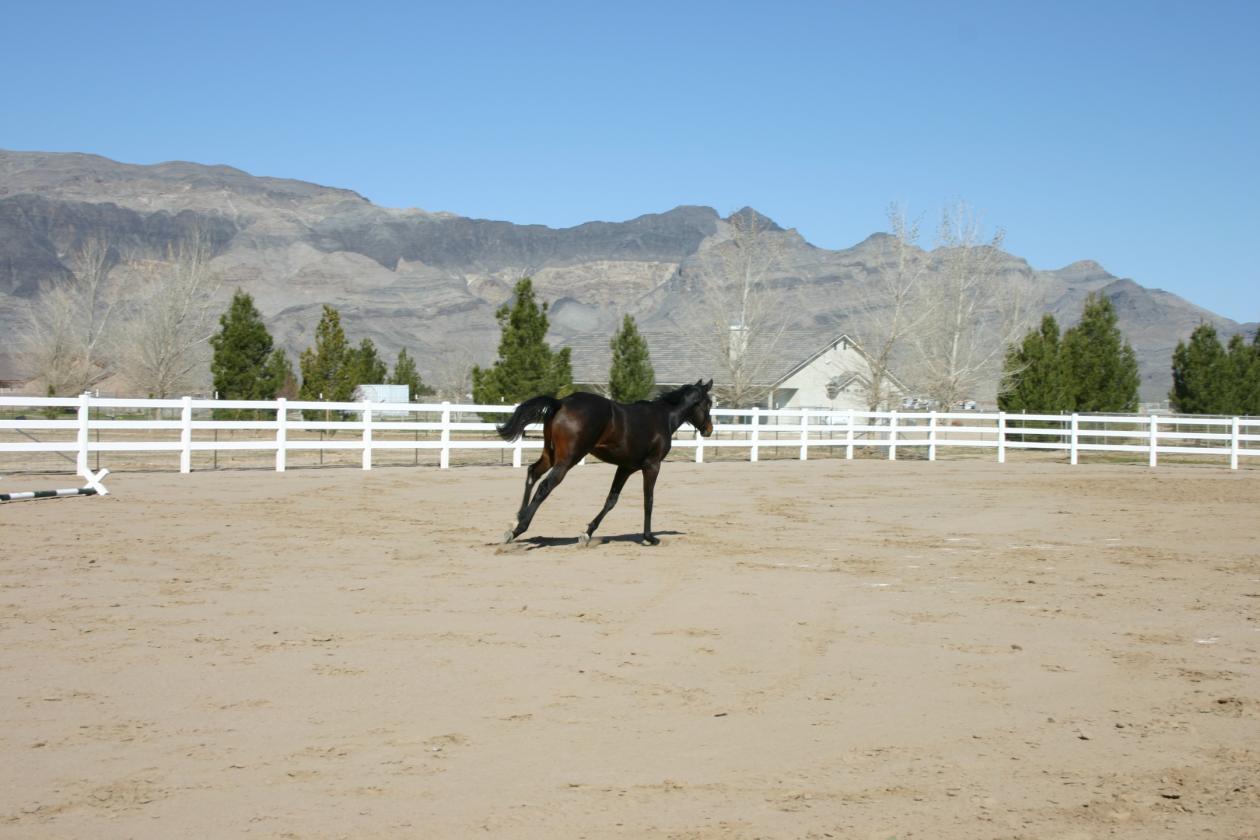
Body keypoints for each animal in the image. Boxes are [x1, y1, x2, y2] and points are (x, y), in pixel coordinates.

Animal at [496, 379, 714, 546]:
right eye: (709, 403)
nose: (709, 429)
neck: (664, 418)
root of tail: (561, 402)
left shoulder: (626, 467)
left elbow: (611, 500)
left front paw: (587, 534)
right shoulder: (652, 466)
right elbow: (648, 500)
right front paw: (649, 537)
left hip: (551, 455)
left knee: (533, 473)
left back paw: (516, 518)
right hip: (567, 460)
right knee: (545, 486)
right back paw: (518, 529)